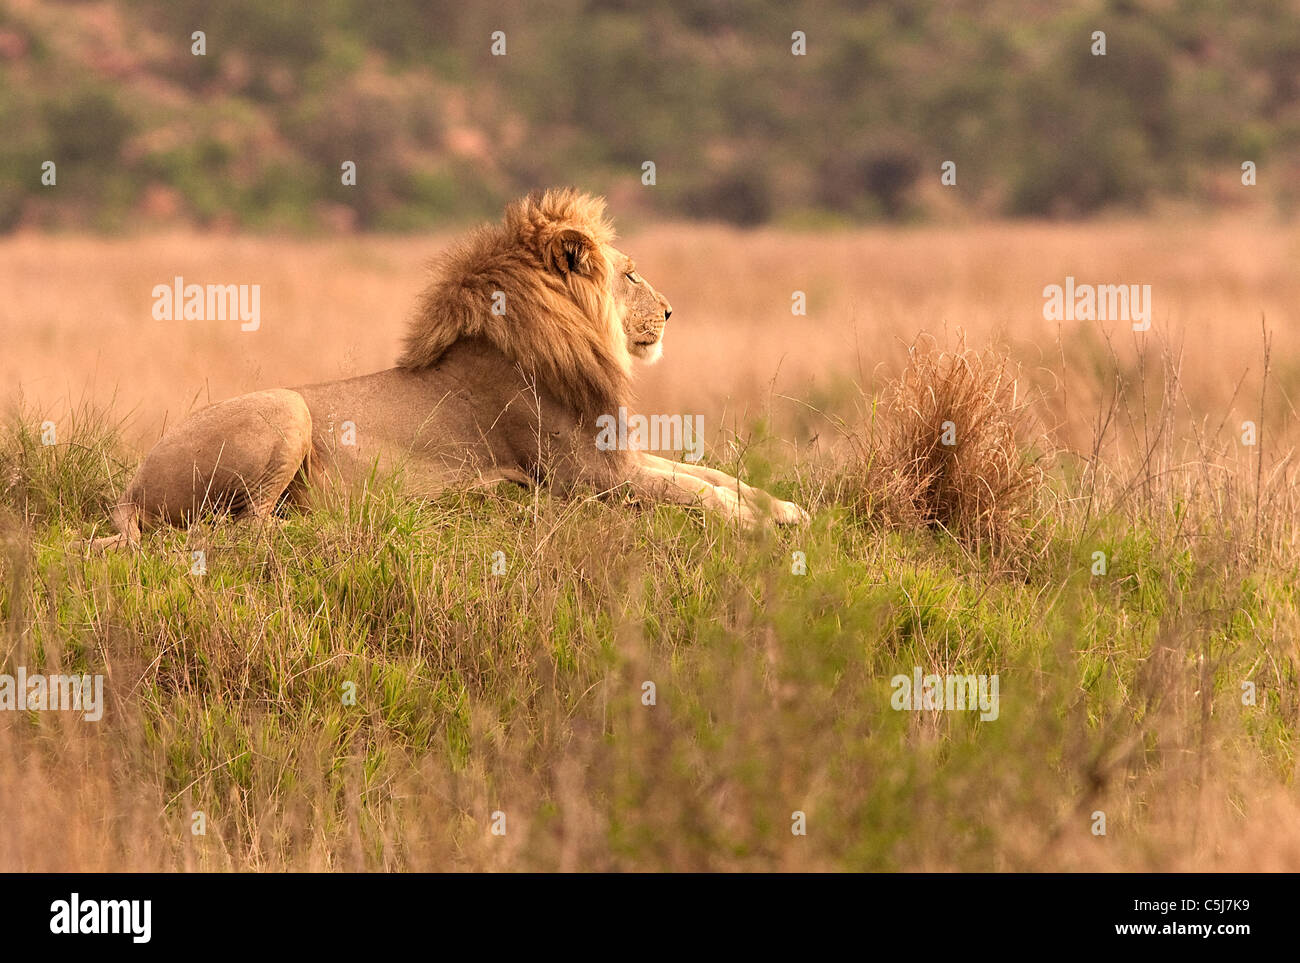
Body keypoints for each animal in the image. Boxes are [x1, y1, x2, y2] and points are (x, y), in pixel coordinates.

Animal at [101, 188, 806, 548]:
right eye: (630, 274)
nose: (670, 311)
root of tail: (131, 488)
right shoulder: (587, 476)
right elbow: (693, 491)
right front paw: (752, 523)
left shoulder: (615, 455)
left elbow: (707, 473)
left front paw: (786, 509)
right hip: (287, 407)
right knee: (243, 529)